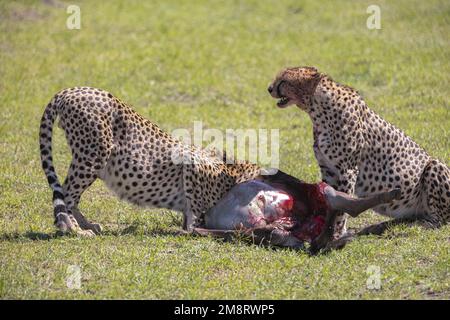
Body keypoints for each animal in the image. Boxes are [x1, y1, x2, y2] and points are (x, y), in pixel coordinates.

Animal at [268, 65, 450, 240]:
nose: (269, 88)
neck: (317, 109)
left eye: (283, 81)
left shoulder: (347, 170)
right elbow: (329, 200)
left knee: (438, 221)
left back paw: (415, 225)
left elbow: (341, 205)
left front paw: (336, 233)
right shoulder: (328, 170)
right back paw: (381, 226)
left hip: (435, 166)